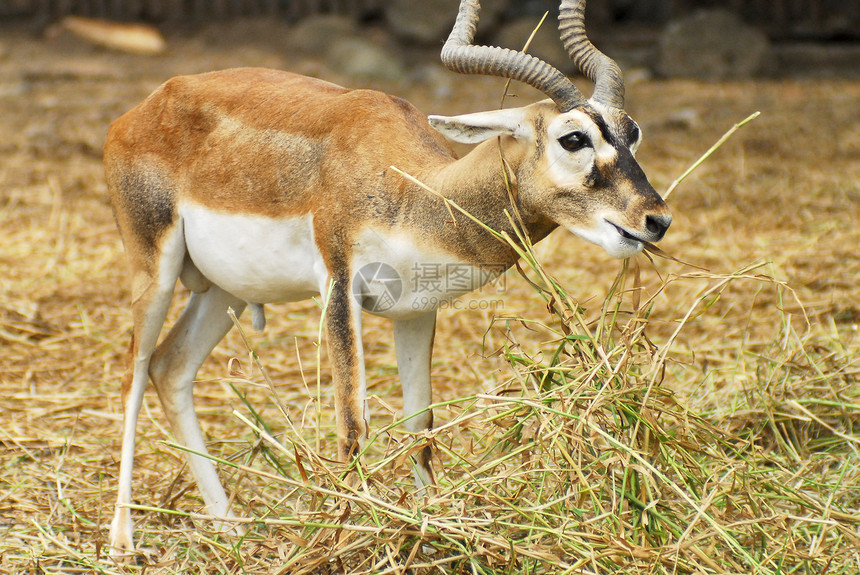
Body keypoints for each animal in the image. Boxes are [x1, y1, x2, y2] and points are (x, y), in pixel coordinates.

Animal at [106, 0, 672, 560]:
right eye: (573, 137)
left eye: (632, 131)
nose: (656, 219)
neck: (411, 187)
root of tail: (141, 110)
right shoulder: (339, 288)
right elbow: (352, 425)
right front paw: (348, 543)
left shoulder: (418, 310)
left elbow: (420, 424)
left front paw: (432, 532)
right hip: (153, 271)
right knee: (134, 372)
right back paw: (122, 541)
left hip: (227, 291)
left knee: (170, 368)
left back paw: (230, 527)